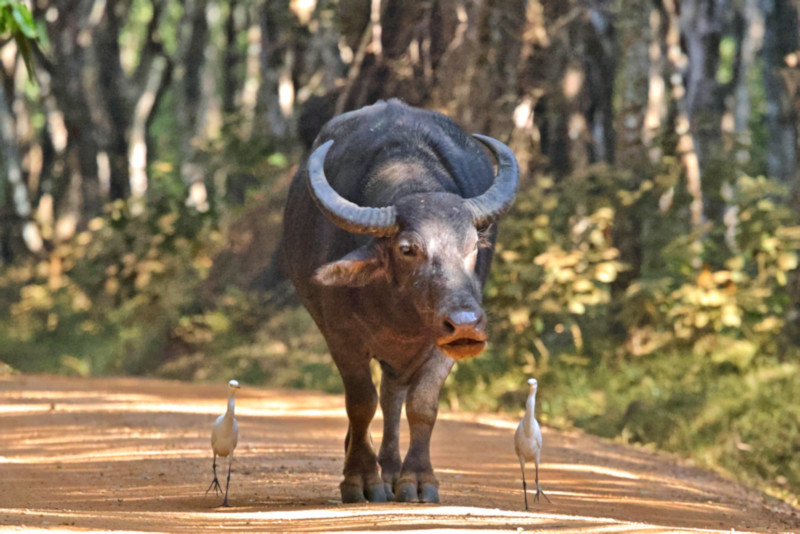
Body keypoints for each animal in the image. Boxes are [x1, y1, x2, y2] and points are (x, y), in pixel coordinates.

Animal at [282, 98, 520, 504]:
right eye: (408, 248)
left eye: (473, 246)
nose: (467, 323)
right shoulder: (341, 337)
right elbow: (360, 402)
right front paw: (360, 479)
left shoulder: (442, 343)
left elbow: (422, 405)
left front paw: (418, 479)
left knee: (393, 394)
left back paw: (392, 469)